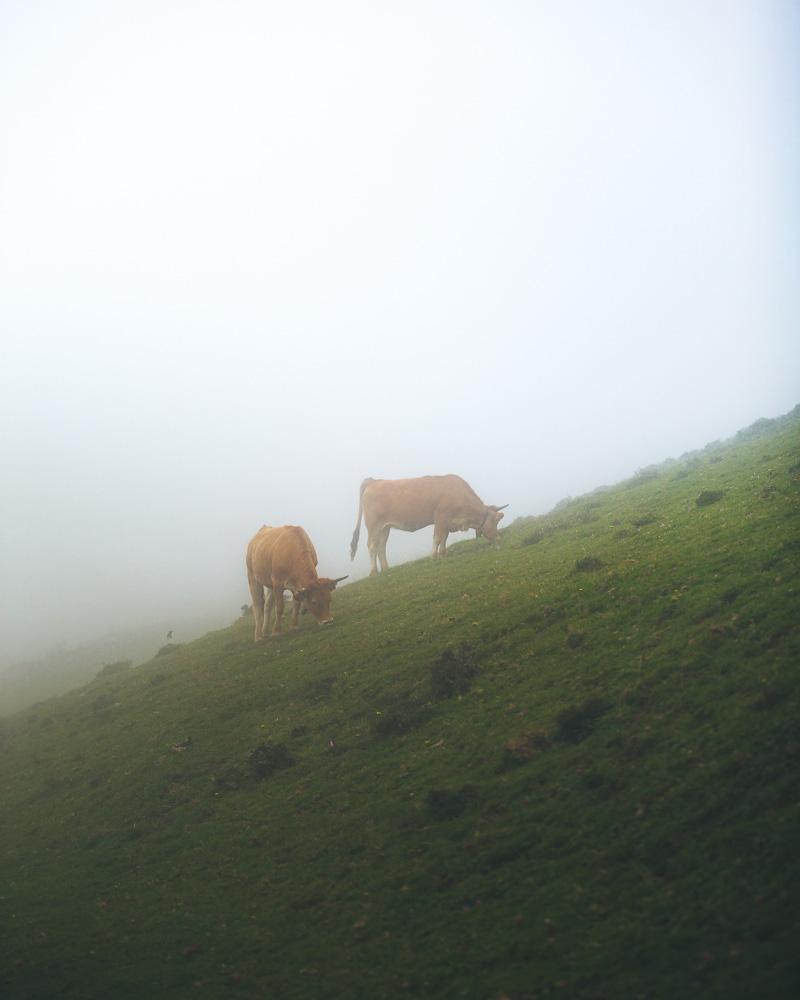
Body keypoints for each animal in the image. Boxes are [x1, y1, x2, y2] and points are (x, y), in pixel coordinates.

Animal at [348, 478, 506, 576]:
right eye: (496, 520)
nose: (499, 540)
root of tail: (374, 481)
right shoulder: (441, 517)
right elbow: (437, 537)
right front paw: (433, 556)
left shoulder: (447, 522)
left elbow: (444, 538)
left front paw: (443, 553)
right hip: (374, 526)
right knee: (372, 546)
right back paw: (374, 572)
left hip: (385, 528)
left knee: (381, 546)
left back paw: (386, 568)